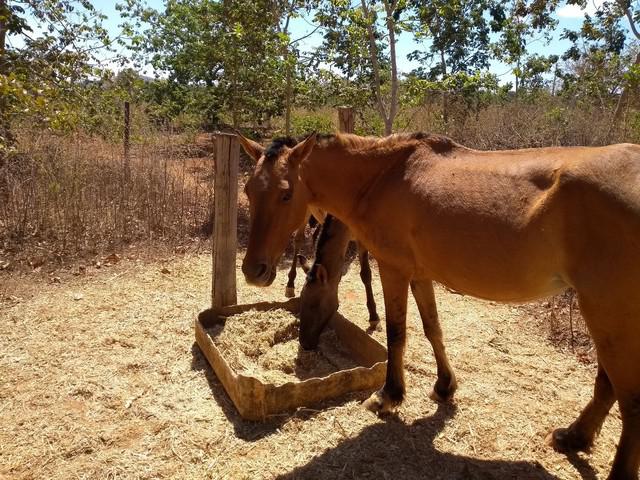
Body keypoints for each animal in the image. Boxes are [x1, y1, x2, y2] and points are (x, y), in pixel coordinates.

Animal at [238, 131, 640, 480]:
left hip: (607, 310)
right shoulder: (420, 274)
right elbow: (433, 328)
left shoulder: (393, 269)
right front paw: (445, 386)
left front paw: (389, 396)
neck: (381, 177)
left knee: (629, 398)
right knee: (607, 385)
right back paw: (574, 437)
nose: (253, 271)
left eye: (286, 194)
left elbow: (397, 334)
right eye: (248, 190)